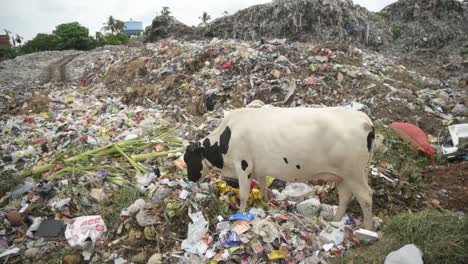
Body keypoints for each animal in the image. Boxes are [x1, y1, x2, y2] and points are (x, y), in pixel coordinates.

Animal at [183, 106, 376, 230]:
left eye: (188, 159)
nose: (189, 179)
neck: (226, 138)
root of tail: (365, 120)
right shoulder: (258, 168)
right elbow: (263, 187)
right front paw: (265, 206)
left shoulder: (243, 165)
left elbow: (244, 195)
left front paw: (239, 215)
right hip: (343, 175)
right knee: (345, 197)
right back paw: (335, 222)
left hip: (354, 173)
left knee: (366, 197)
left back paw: (368, 228)